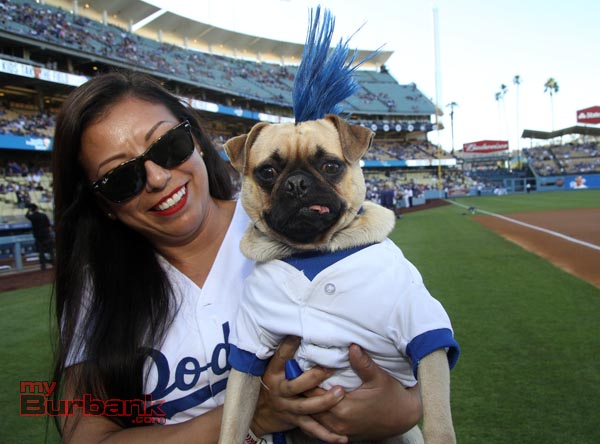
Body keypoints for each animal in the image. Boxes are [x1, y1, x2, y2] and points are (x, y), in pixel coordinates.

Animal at [220, 114, 460, 444]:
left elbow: (438, 417)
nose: (296, 183)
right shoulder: (248, 353)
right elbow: (233, 421)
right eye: (267, 172)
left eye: (331, 166)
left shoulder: (423, 333)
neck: (311, 251)